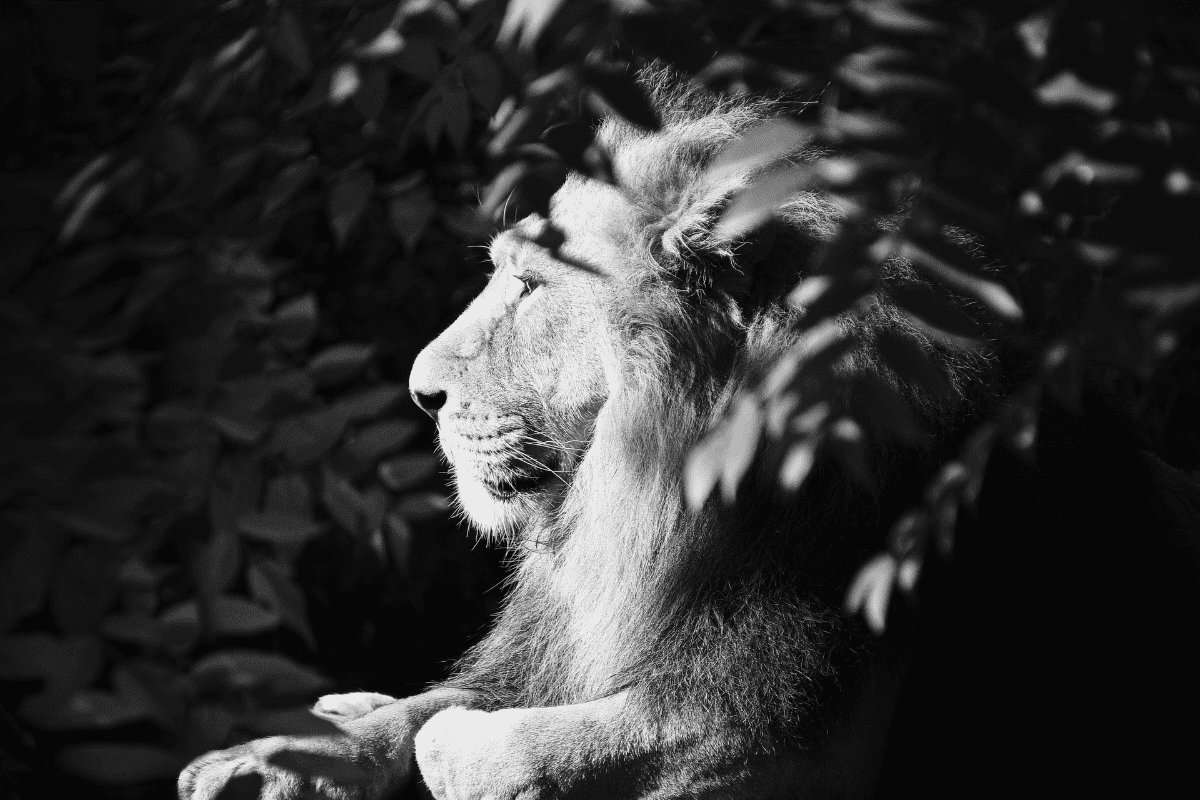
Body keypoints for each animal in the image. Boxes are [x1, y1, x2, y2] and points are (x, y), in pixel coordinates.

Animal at [177, 71, 1200, 796]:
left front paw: (440, 745)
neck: (643, 503)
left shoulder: (786, 732)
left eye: (531, 286)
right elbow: (433, 703)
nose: (421, 393)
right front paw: (282, 753)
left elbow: (503, 743)